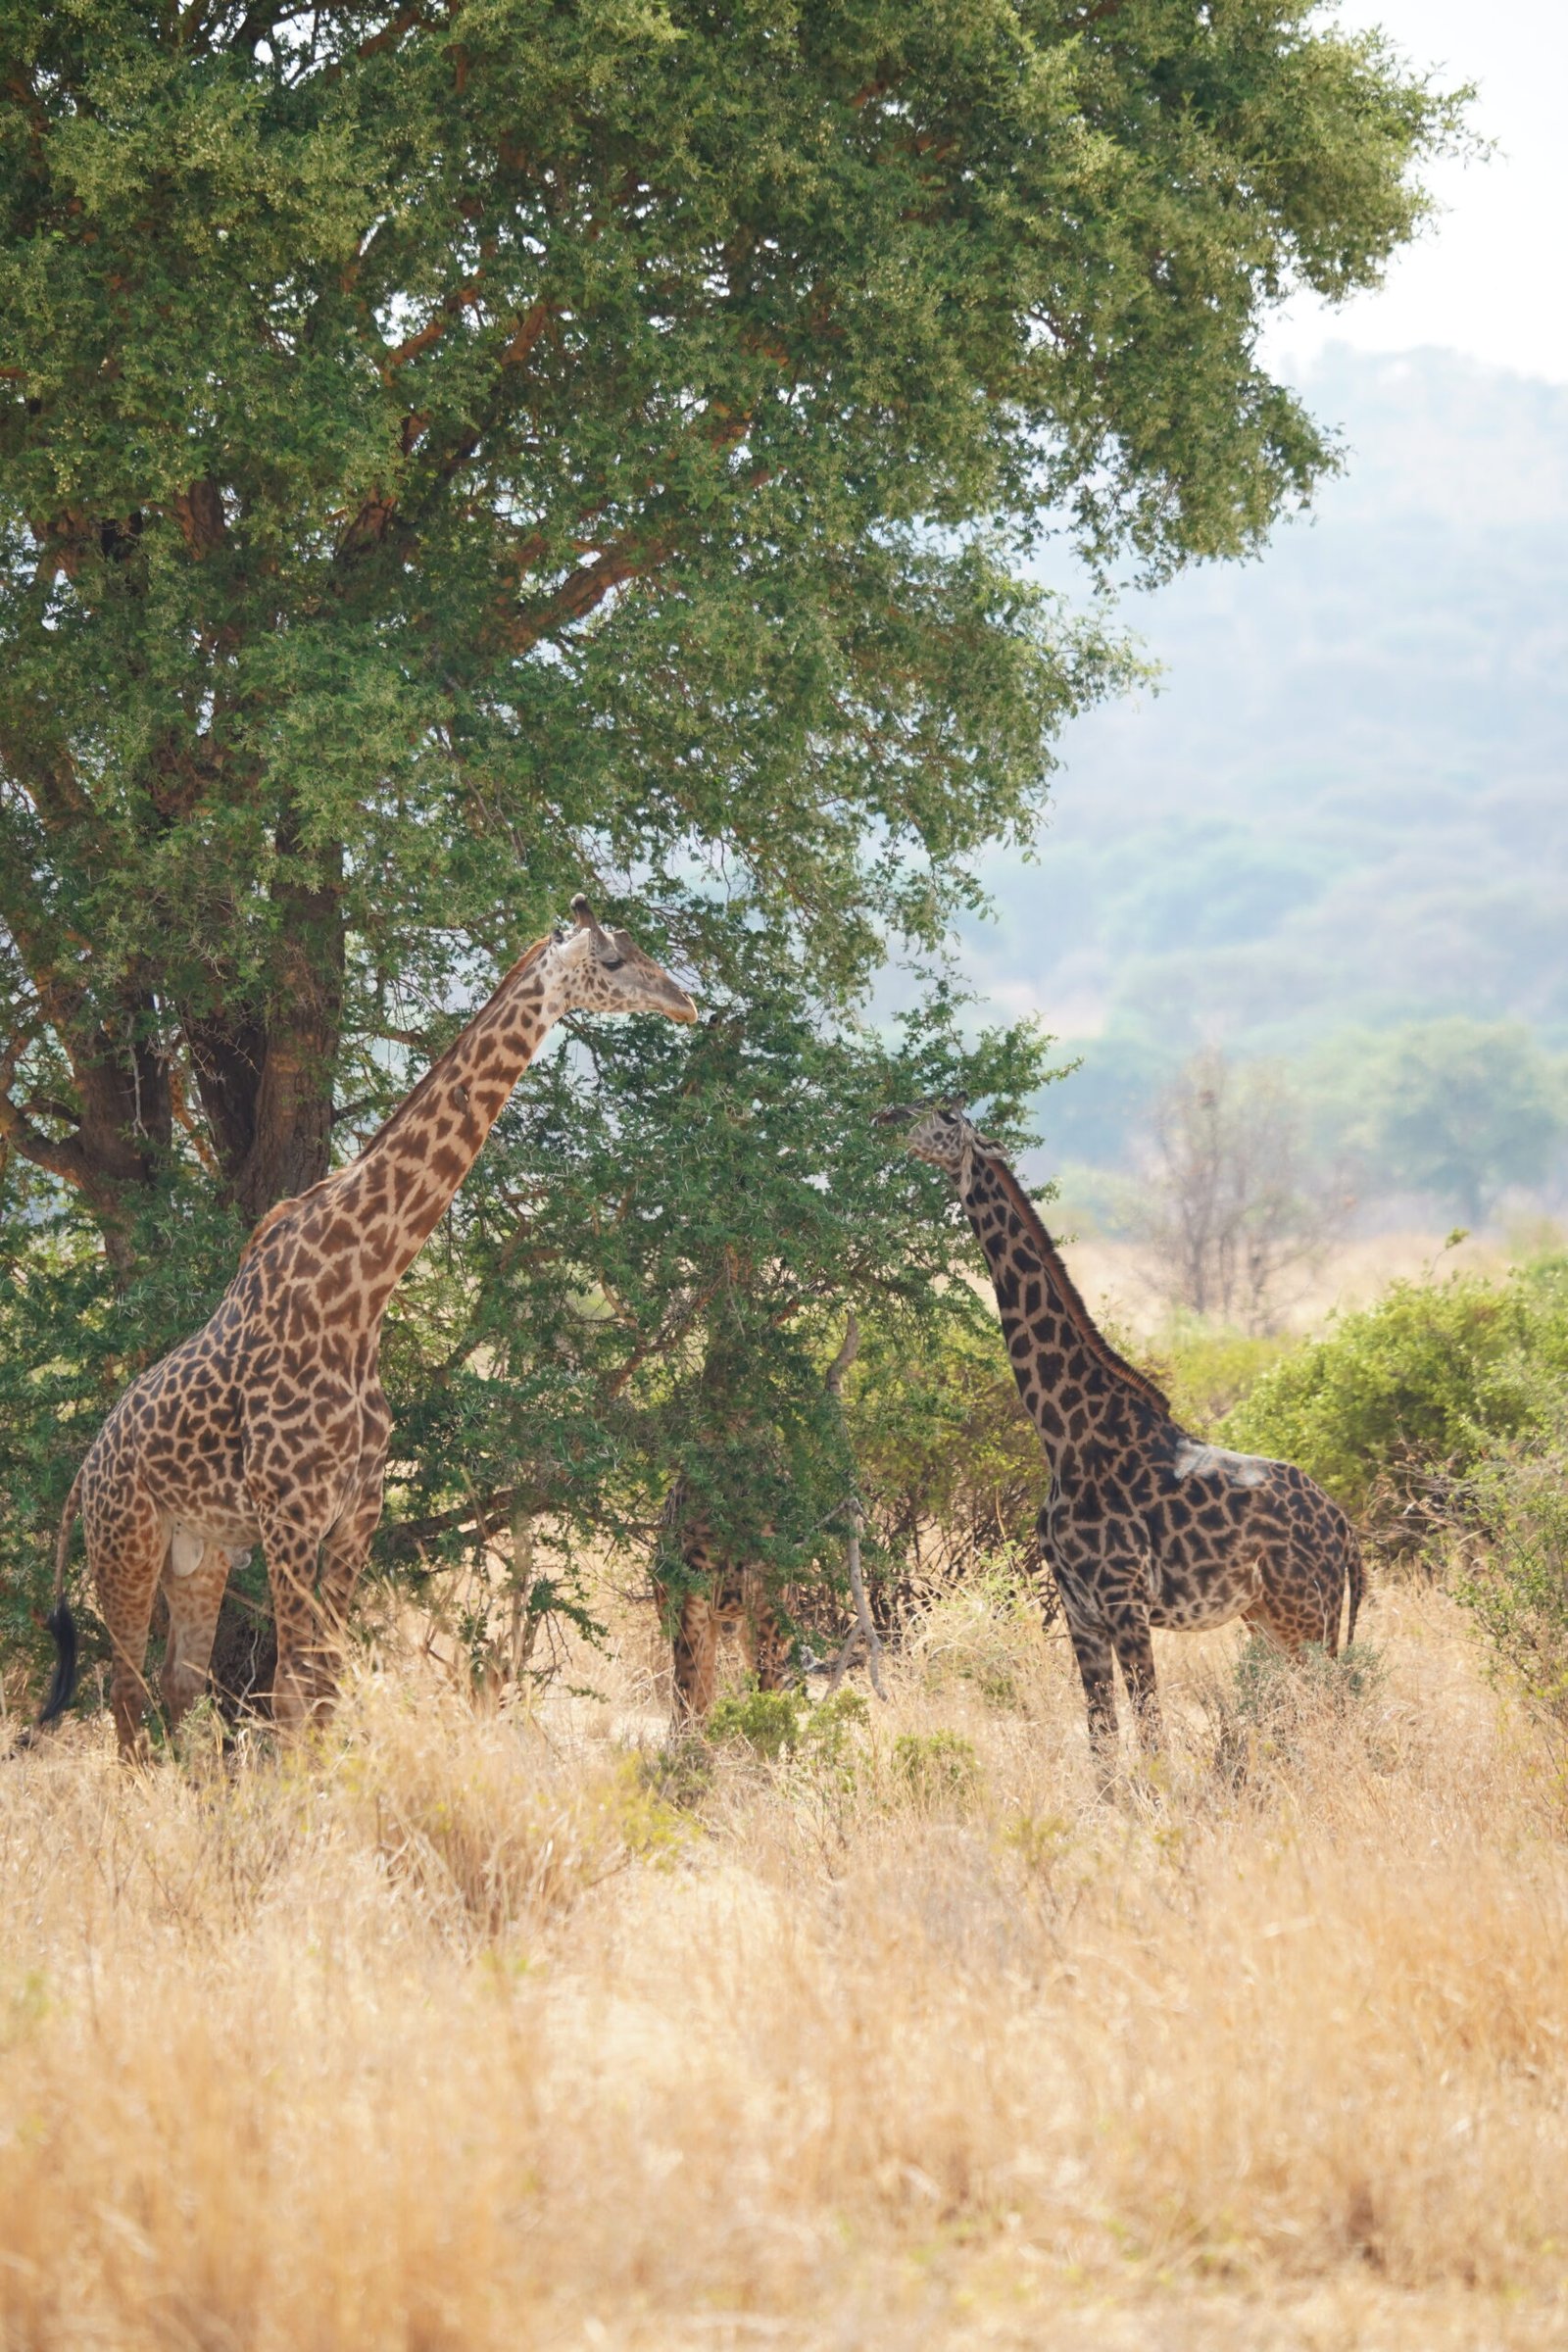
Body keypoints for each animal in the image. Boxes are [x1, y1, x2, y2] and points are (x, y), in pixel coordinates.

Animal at [38, 898, 696, 1754]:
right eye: (613, 960)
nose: (684, 1001)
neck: (359, 1294)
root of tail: (82, 1477)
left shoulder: (356, 1514)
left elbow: (322, 1686)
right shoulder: (291, 1514)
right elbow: (294, 1684)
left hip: (199, 1553)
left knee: (179, 1686)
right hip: (127, 1544)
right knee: (124, 1689)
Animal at [877, 1103, 1364, 1763]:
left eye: (947, 1115)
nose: (889, 1115)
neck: (1065, 1436)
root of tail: (1343, 1527)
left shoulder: (1124, 1600)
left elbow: (1153, 1737)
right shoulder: (1079, 1610)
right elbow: (1102, 1742)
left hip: (1306, 1615)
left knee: (1330, 1711)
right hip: (1267, 1615)